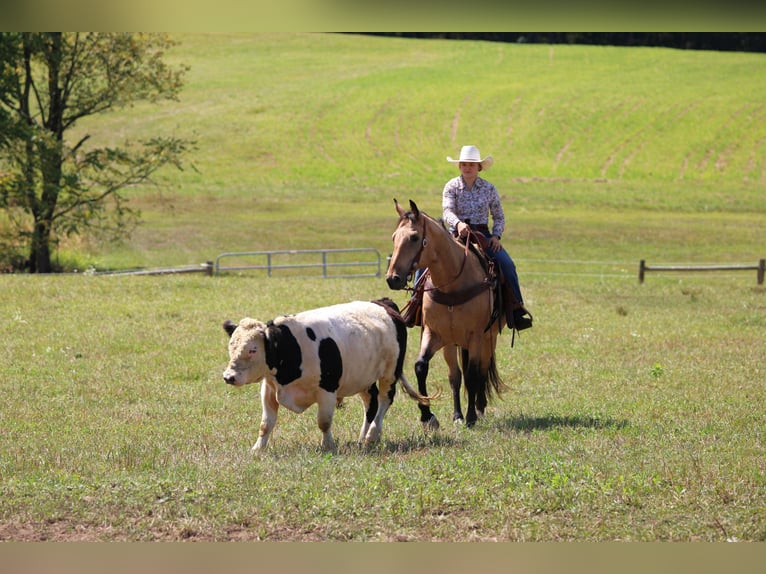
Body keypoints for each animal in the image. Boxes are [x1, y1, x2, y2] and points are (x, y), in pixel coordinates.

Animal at [386, 199, 506, 429]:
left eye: (414, 237)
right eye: (394, 237)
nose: (392, 278)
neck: (453, 285)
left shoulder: (476, 336)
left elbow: (473, 374)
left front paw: (471, 417)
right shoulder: (435, 334)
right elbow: (422, 367)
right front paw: (428, 416)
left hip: (490, 338)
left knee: (481, 370)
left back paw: (479, 408)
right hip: (452, 344)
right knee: (455, 376)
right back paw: (458, 414)